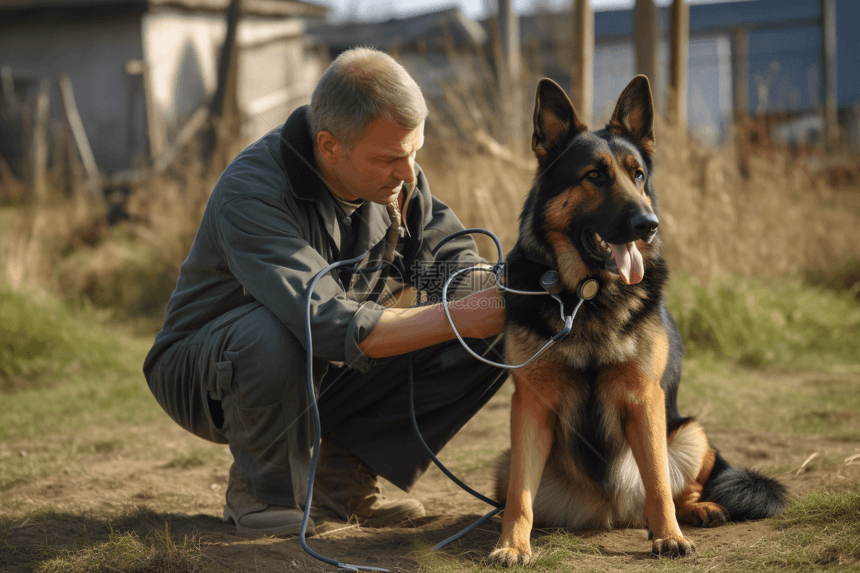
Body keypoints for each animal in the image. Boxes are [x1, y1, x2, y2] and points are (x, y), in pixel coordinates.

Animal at [488, 76, 784, 564]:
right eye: (594, 176)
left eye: (638, 175)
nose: (649, 223)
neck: (589, 296)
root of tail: (609, 512)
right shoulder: (531, 405)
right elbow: (519, 496)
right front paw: (512, 544)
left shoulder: (645, 399)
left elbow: (659, 483)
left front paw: (669, 536)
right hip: (505, 458)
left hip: (689, 433)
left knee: (677, 487)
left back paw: (698, 510)